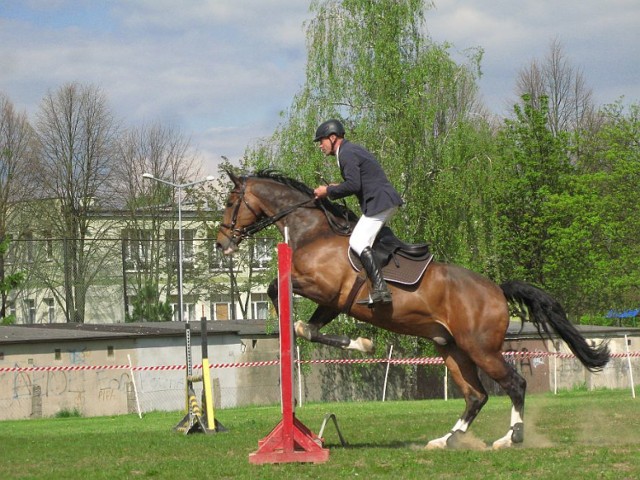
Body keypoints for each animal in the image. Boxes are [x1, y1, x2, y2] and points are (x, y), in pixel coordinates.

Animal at [216, 170, 608, 450]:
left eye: (231, 201)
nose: (221, 244)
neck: (314, 230)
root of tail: (496, 289)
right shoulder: (332, 302)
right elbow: (307, 328)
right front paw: (362, 344)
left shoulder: (322, 288)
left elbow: (276, 292)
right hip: (450, 348)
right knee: (476, 395)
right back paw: (447, 440)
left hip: (480, 348)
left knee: (515, 383)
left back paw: (509, 438)